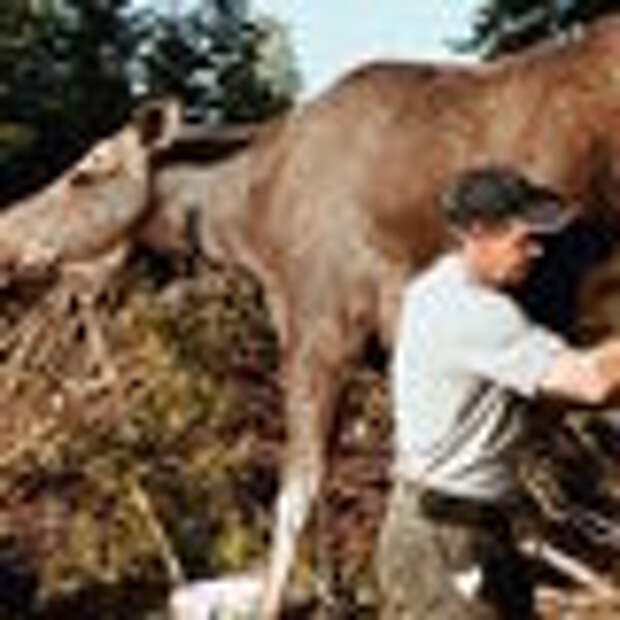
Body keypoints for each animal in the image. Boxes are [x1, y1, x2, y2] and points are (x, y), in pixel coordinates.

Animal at [2, 15, 620, 620]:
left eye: (85, 173)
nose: (7, 230)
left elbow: (296, 492)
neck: (246, 223)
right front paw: (328, 592)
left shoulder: (322, 326)